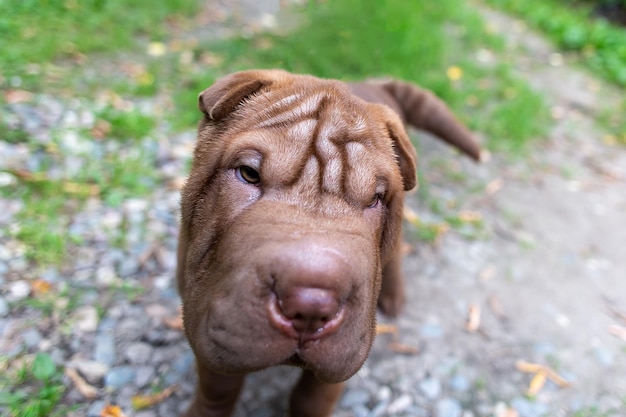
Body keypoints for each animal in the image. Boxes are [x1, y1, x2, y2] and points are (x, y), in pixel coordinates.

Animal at [177, 69, 482, 416]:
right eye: (248, 173)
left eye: (376, 199)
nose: (311, 305)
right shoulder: (206, 317)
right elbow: (218, 387)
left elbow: (313, 397)